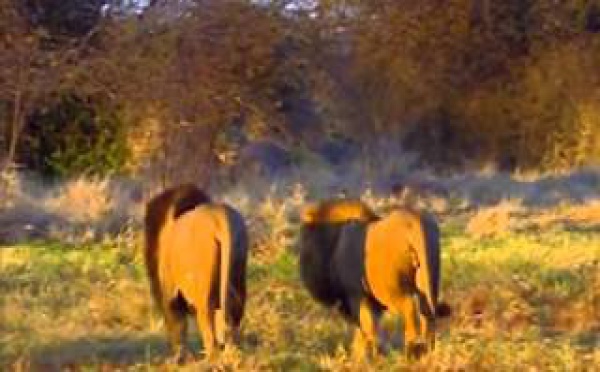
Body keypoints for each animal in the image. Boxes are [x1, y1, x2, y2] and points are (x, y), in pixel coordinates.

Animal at [144, 185, 247, 360]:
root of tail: (222, 218)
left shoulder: (170, 293)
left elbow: (177, 324)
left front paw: (180, 358)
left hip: (203, 293)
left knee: (208, 324)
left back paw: (210, 358)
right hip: (238, 273)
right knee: (233, 316)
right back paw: (232, 353)